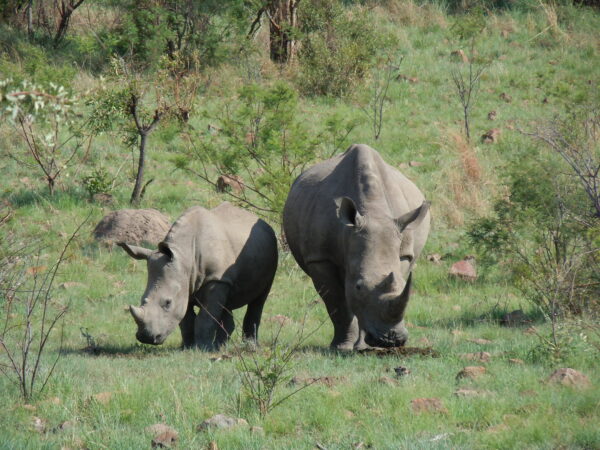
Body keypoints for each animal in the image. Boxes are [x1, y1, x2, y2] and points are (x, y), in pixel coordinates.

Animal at [118, 202, 278, 350]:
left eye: (168, 303)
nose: (146, 338)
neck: (185, 256)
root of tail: (263, 222)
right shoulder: (185, 283)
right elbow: (186, 319)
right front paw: (188, 347)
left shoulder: (215, 279)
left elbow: (206, 318)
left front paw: (202, 348)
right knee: (226, 303)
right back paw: (220, 347)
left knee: (259, 299)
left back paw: (249, 346)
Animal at [284, 146, 428, 350]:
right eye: (359, 286)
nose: (391, 340)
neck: (372, 210)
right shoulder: (320, 257)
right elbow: (338, 302)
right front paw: (341, 347)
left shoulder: (403, 253)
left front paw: (364, 347)